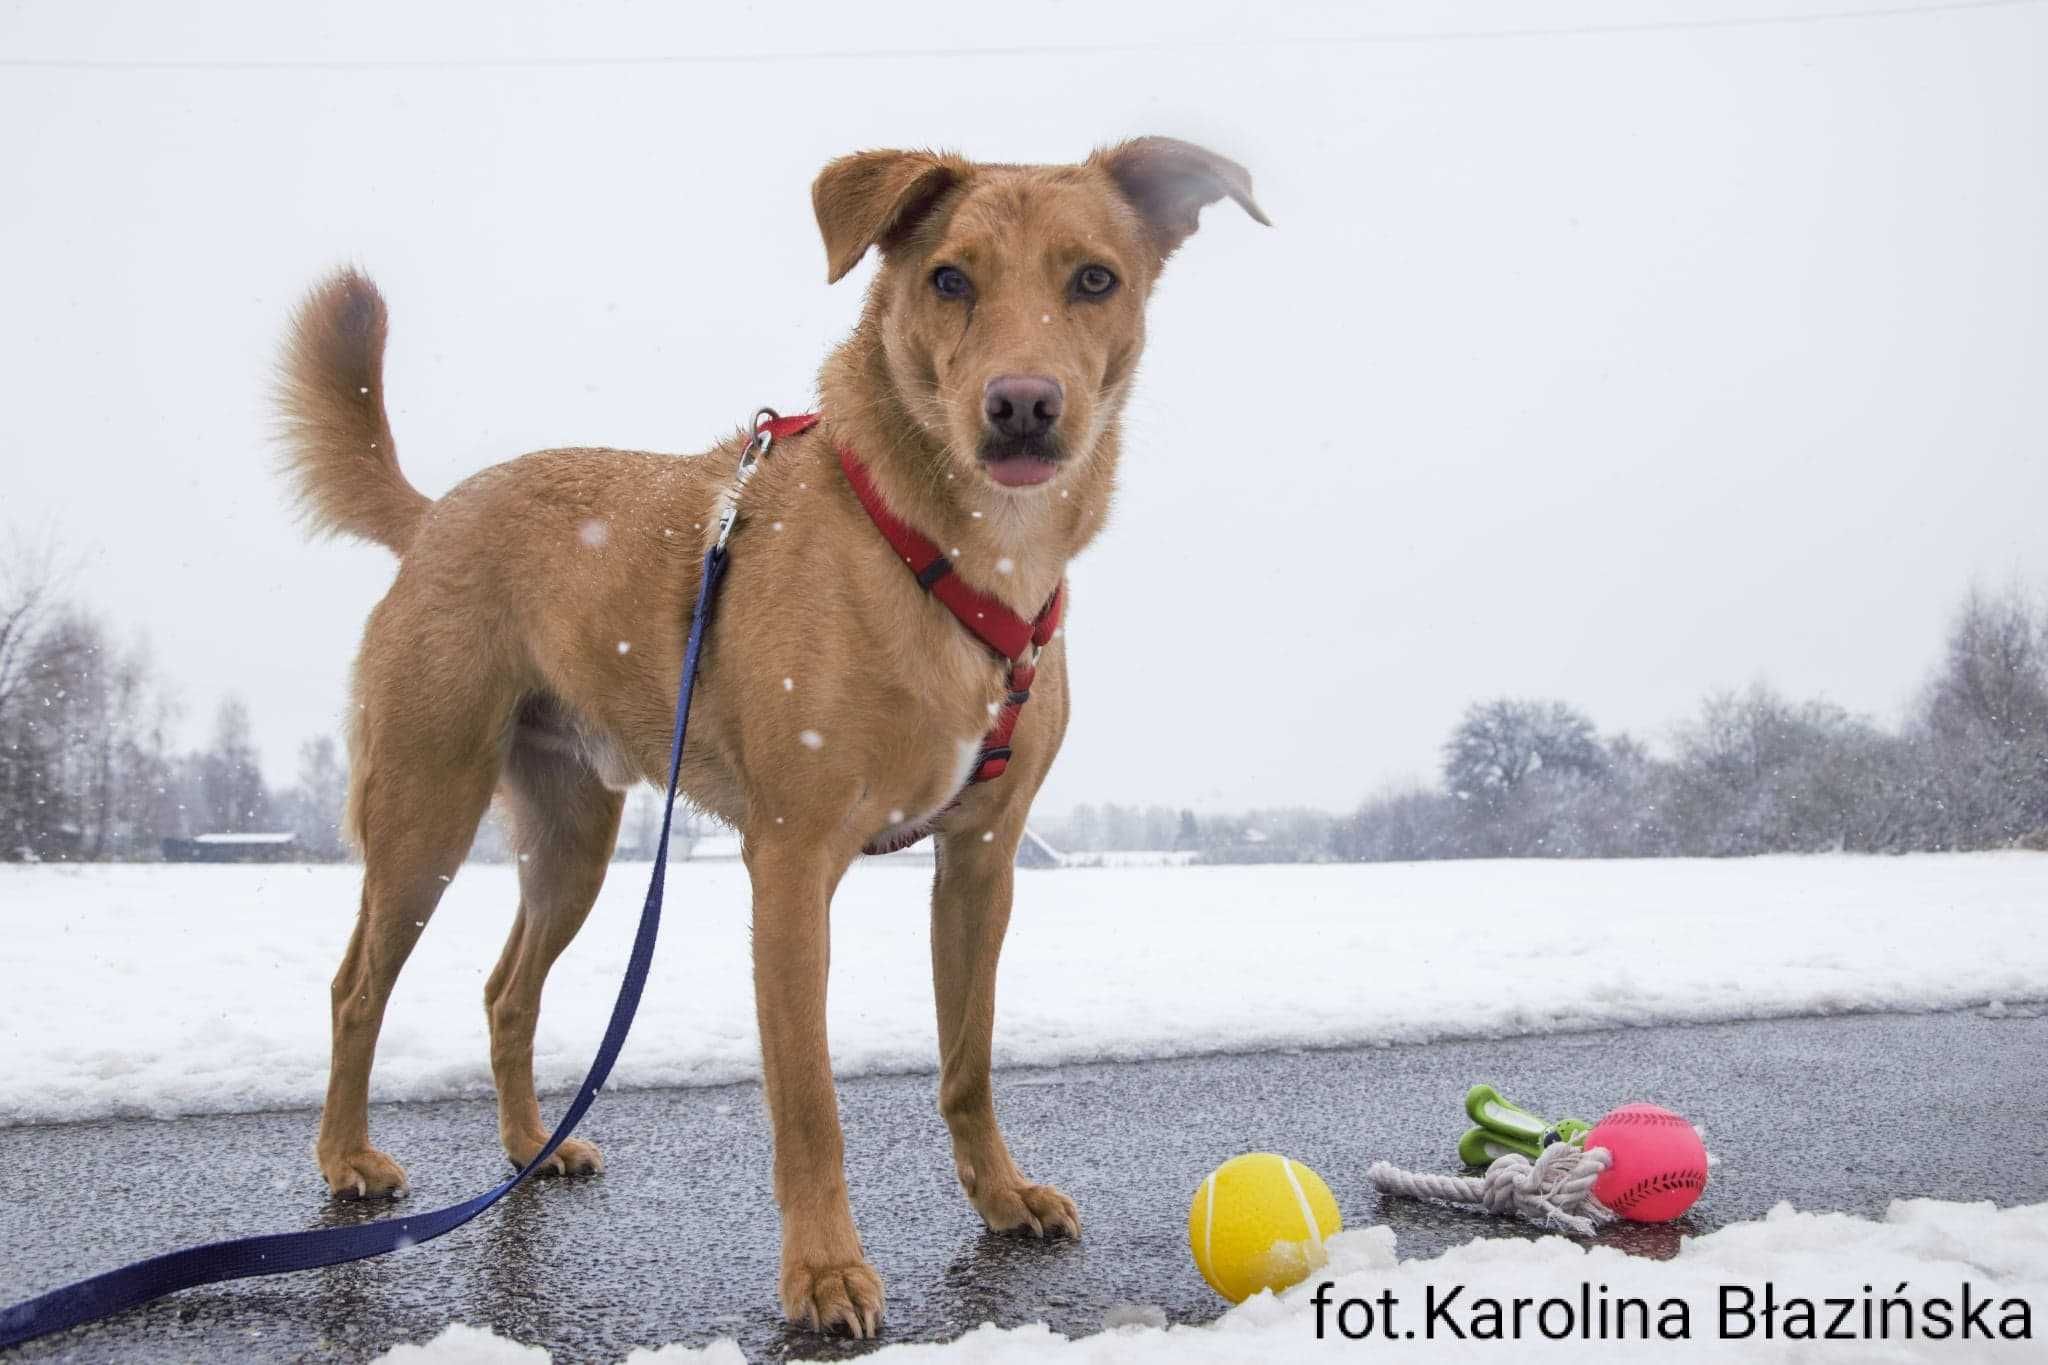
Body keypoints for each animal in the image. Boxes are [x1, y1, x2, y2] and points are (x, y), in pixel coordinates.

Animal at [272, 136, 1261, 1334]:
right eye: (949, 279)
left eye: (1093, 280)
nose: (1022, 405)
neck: (953, 555)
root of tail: (435, 513)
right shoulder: (789, 864)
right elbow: (809, 1097)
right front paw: (825, 1270)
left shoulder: (981, 859)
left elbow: (967, 1057)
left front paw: (1000, 1194)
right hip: (424, 812)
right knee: (355, 989)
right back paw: (345, 1157)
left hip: (574, 843)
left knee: (508, 991)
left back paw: (529, 1149)